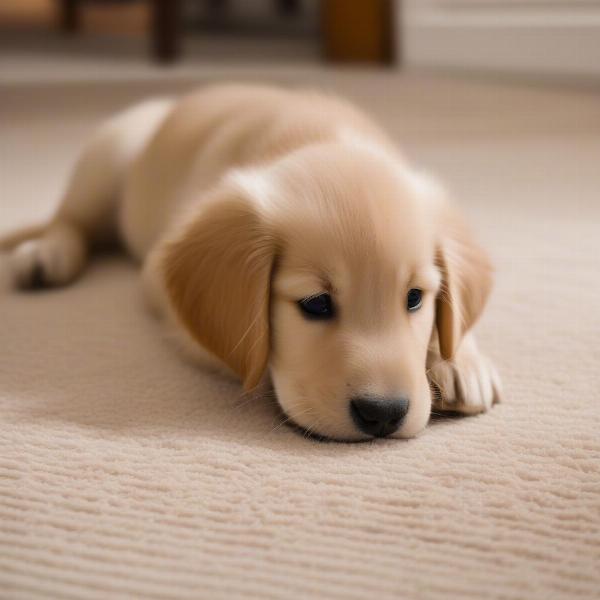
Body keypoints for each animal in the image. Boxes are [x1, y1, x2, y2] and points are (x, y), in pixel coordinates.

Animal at [1, 83, 502, 440]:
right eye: (316, 304)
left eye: (415, 298)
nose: (382, 414)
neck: (319, 137)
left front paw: (461, 362)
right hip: (108, 153)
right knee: (70, 219)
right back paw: (47, 253)